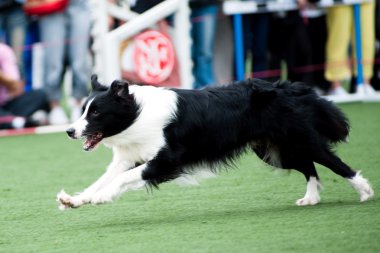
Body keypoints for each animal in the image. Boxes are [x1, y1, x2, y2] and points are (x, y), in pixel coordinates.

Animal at [57, 75, 374, 210]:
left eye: (96, 113)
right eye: (84, 109)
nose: (70, 131)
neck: (136, 114)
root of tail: (288, 86)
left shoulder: (167, 160)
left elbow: (123, 179)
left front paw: (100, 198)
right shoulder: (128, 156)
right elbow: (103, 179)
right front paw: (76, 199)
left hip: (298, 137)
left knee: (333, 162)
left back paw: (364, 191)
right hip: (274, 149)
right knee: (309, 166)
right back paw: (311, 198)